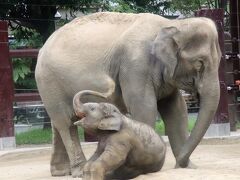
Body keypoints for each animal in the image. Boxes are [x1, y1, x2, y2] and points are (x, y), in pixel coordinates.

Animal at [35, 12, 221, 177]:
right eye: (199, 63)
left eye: (220, 60)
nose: (179, 164)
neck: (171, 24)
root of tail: (42, 48)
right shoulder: (135, 67)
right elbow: (145, 107)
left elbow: (177, 110)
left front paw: (189, 168)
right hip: (49, 81)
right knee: (67, 124)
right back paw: (79, 171)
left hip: (51, 87)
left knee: (59, 122)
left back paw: (60, 172)